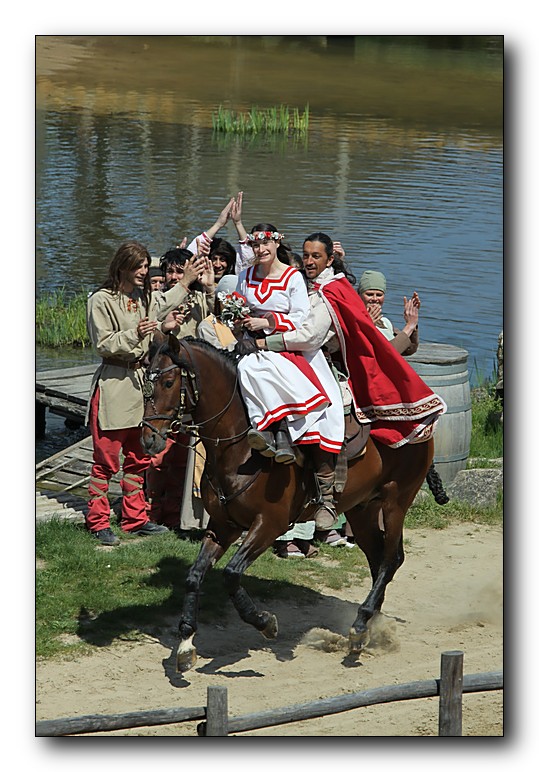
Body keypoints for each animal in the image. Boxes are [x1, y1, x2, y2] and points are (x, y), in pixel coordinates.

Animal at [139, 334, 434, 672]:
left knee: (390, 559)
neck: (239, 447)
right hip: (362, 509)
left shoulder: (269, 524)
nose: (148, 439)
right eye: (145, 382)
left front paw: (264, 622)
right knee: (377, 559)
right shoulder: (223, 525)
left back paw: (361, 624)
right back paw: (368, 626)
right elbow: (194, 576)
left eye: (169, 382)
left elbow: (231, 574)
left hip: (396, 501)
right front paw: (186, 643)